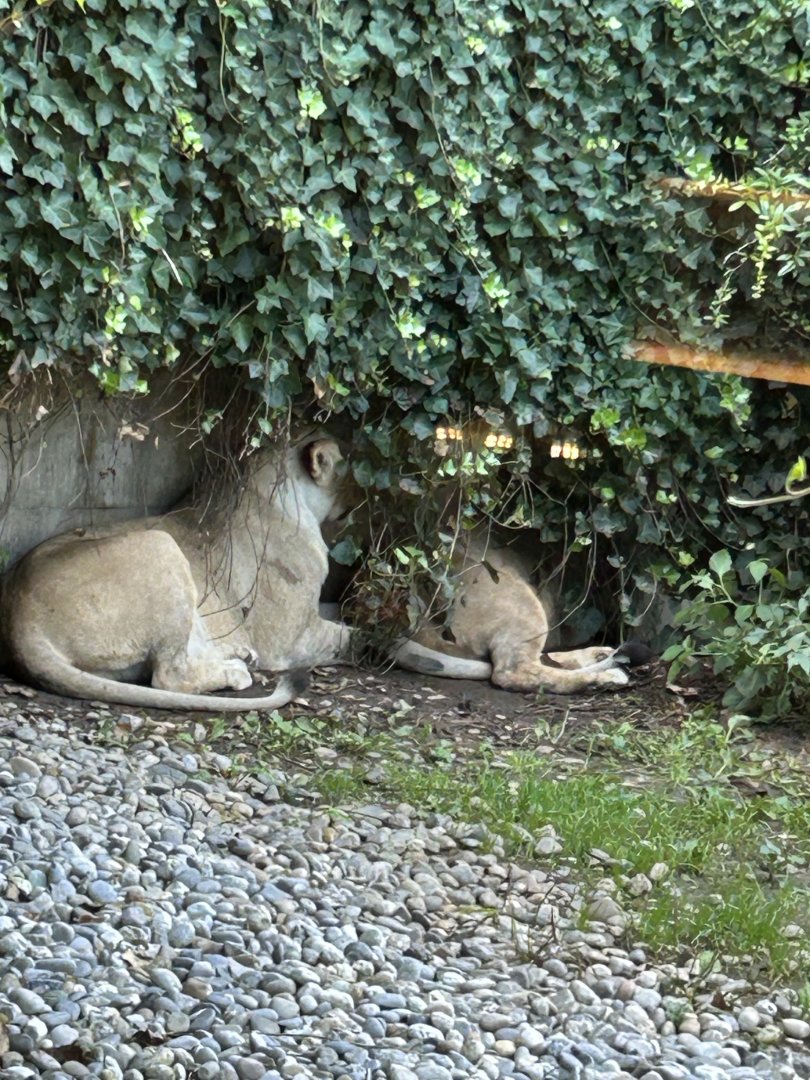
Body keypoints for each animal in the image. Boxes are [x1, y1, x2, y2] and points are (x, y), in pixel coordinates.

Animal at [0, 436, 354, 712]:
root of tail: (19, 624)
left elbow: (341, 612)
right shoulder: (290, 641)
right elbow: (350, 637)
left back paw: (238, 654)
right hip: (160, 545)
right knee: (169, 675)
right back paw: (237, 670)